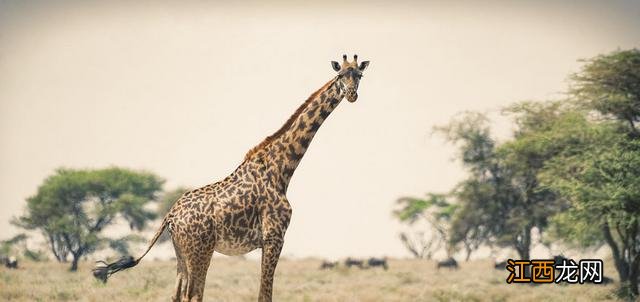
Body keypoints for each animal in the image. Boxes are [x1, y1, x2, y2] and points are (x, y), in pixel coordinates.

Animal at [91, 54, 370, 302]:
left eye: (359, 75)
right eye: (340, 75)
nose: (352, 95)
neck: (281, 170)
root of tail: (169, 215)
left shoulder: (269, 240)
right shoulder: (274, 237)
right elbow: (264, 295)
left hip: (181, 253)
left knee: (177, 295)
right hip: (200, 251)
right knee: (193, 295)